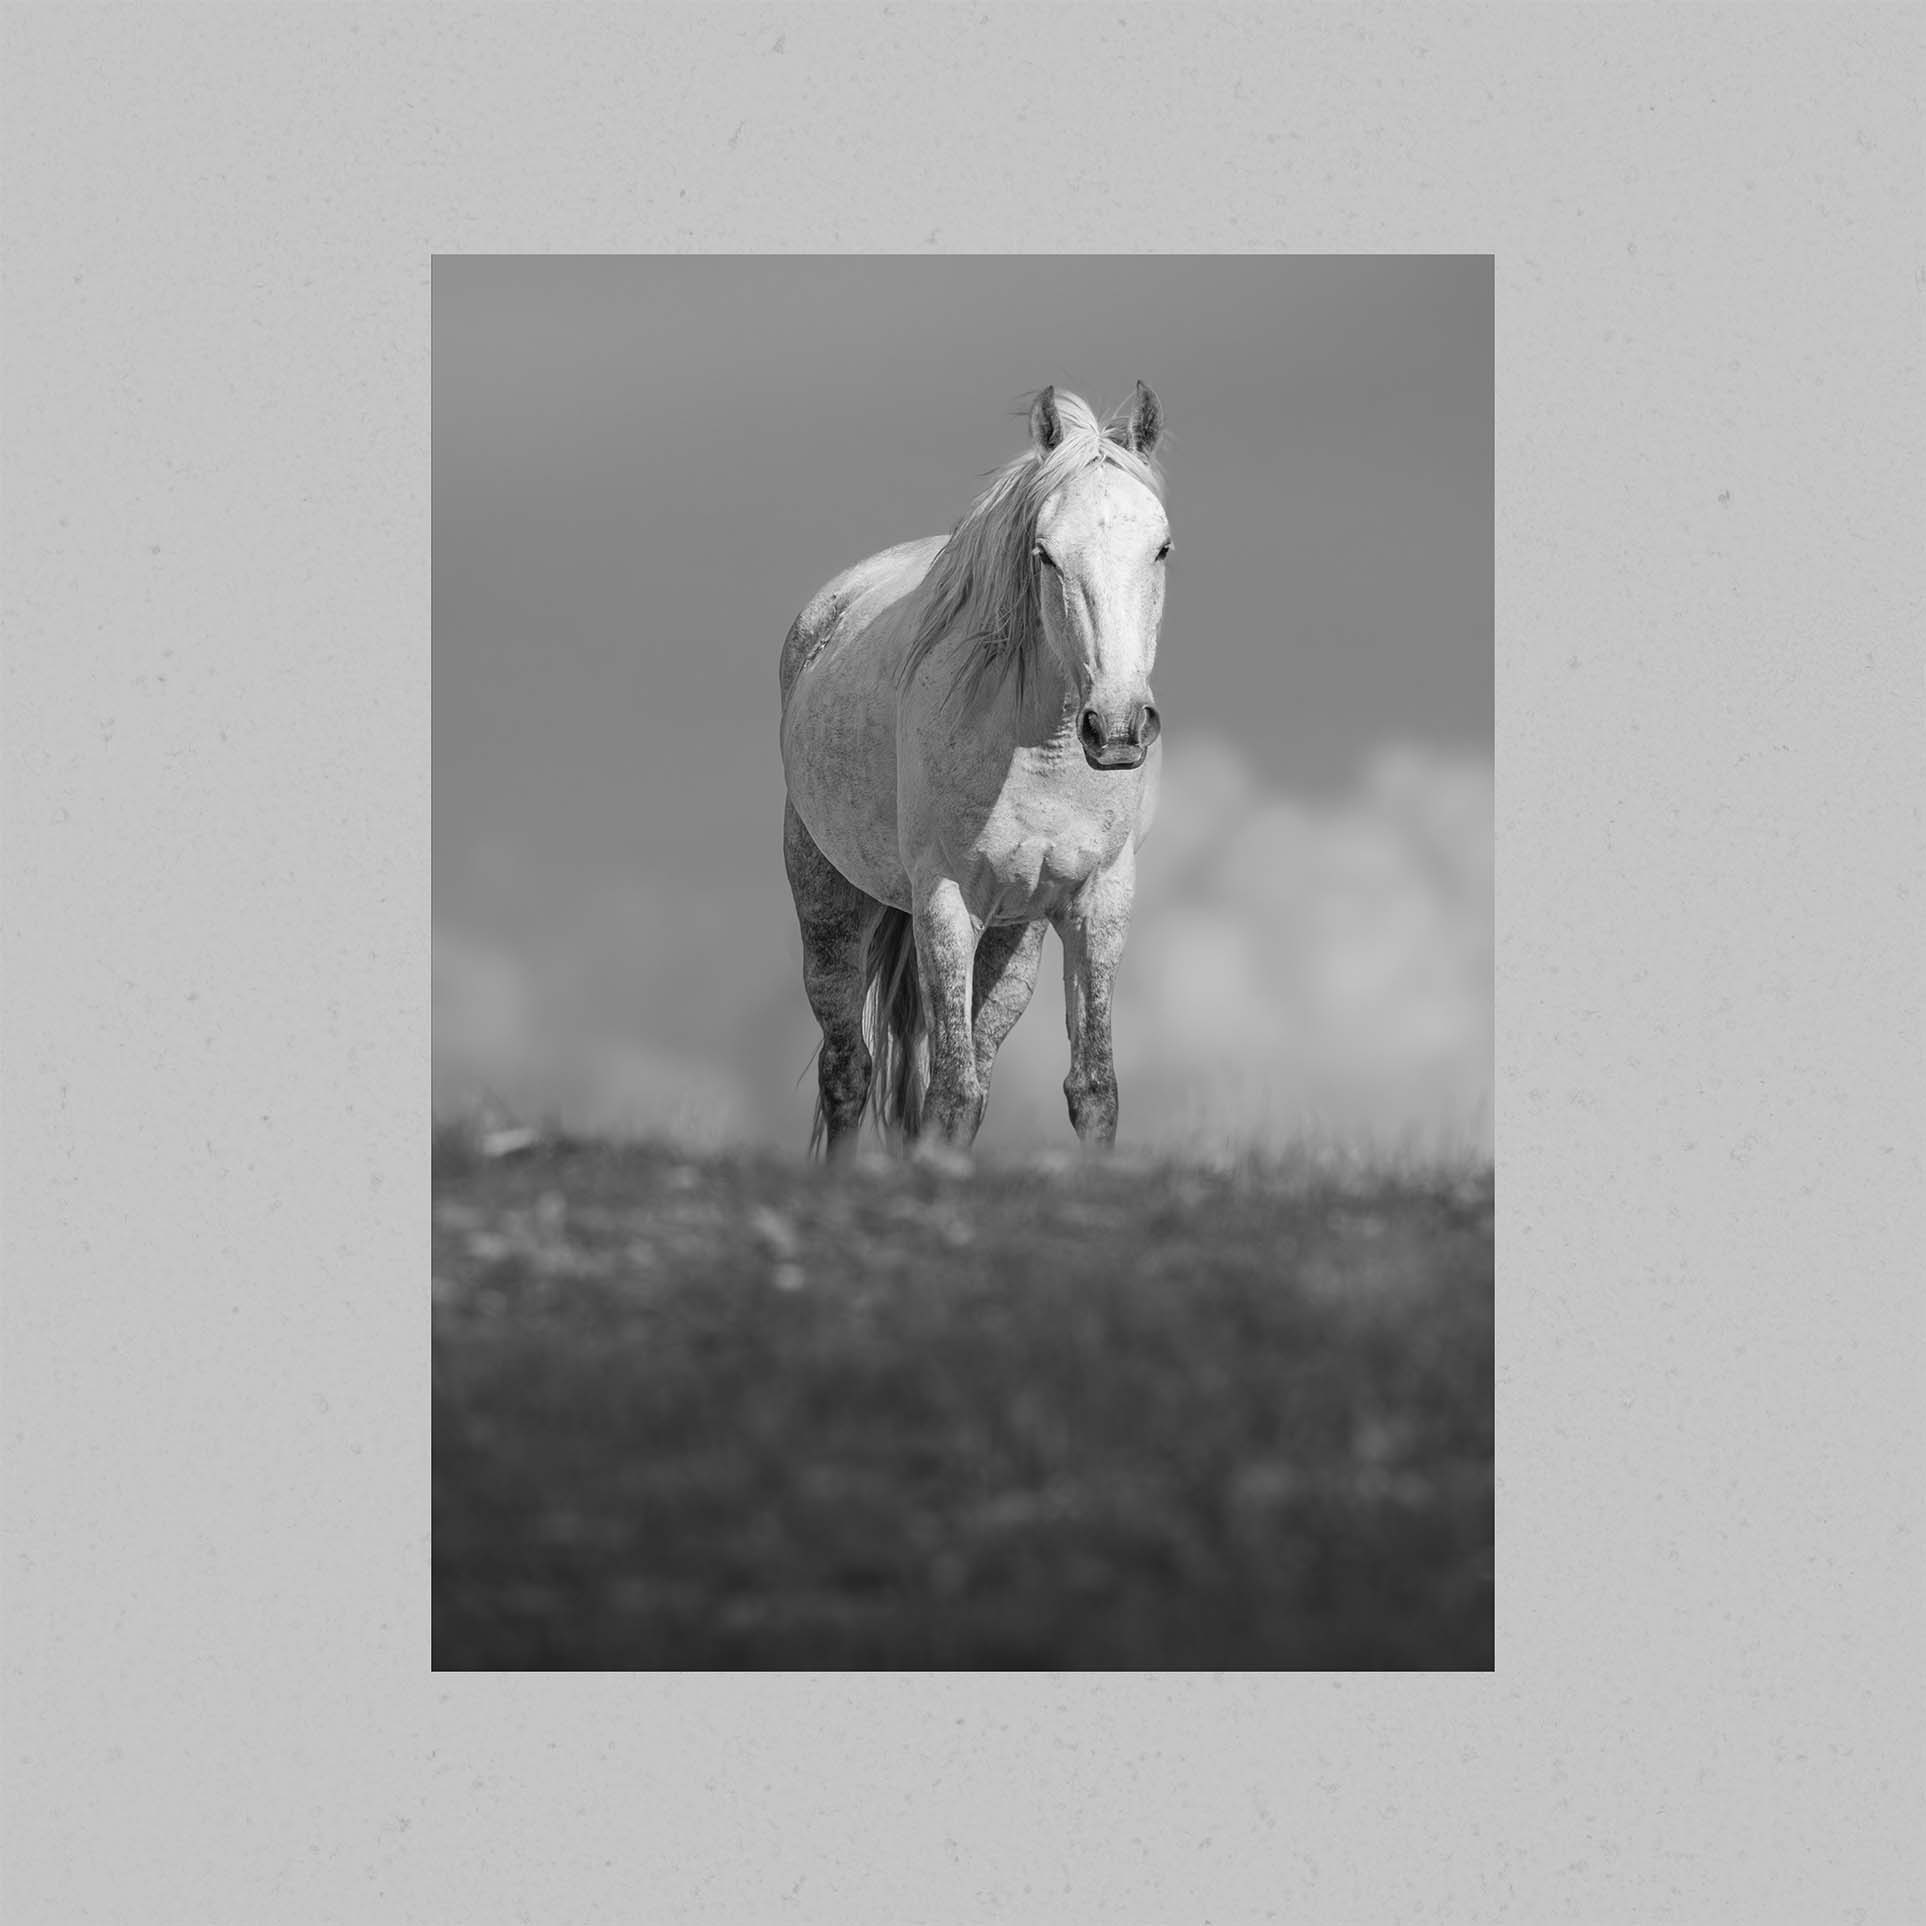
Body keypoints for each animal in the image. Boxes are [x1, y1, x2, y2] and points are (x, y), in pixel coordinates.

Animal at [779, 382, 1170, 1159]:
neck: (1040, 748)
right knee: (848, 1070)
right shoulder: (945, 899)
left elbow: (1093, 1089)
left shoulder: (1099, 902)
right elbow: (951, 1094)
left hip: (1013, 937)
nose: (1117, 728)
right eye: (1045, 555)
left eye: (1162, 548)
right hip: (830, 905)